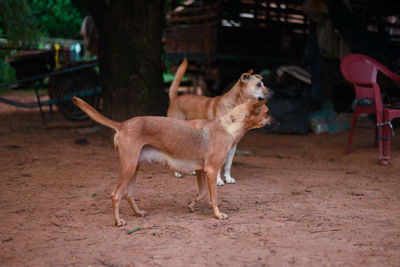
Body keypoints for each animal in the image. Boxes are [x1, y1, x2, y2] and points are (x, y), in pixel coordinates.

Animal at [72, 96, 274, 226]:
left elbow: (202, 194)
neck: (227, 126)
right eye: (268, 113)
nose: (277, 123)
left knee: (128, 194)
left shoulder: (201, 171)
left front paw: (191, 205)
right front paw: (217, 215)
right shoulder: (211, 171)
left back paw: (138, 213)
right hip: (128, 168)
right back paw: (118, 221)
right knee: (115, 195)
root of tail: (122, 124)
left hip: (134, 167)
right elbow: (214, 198)